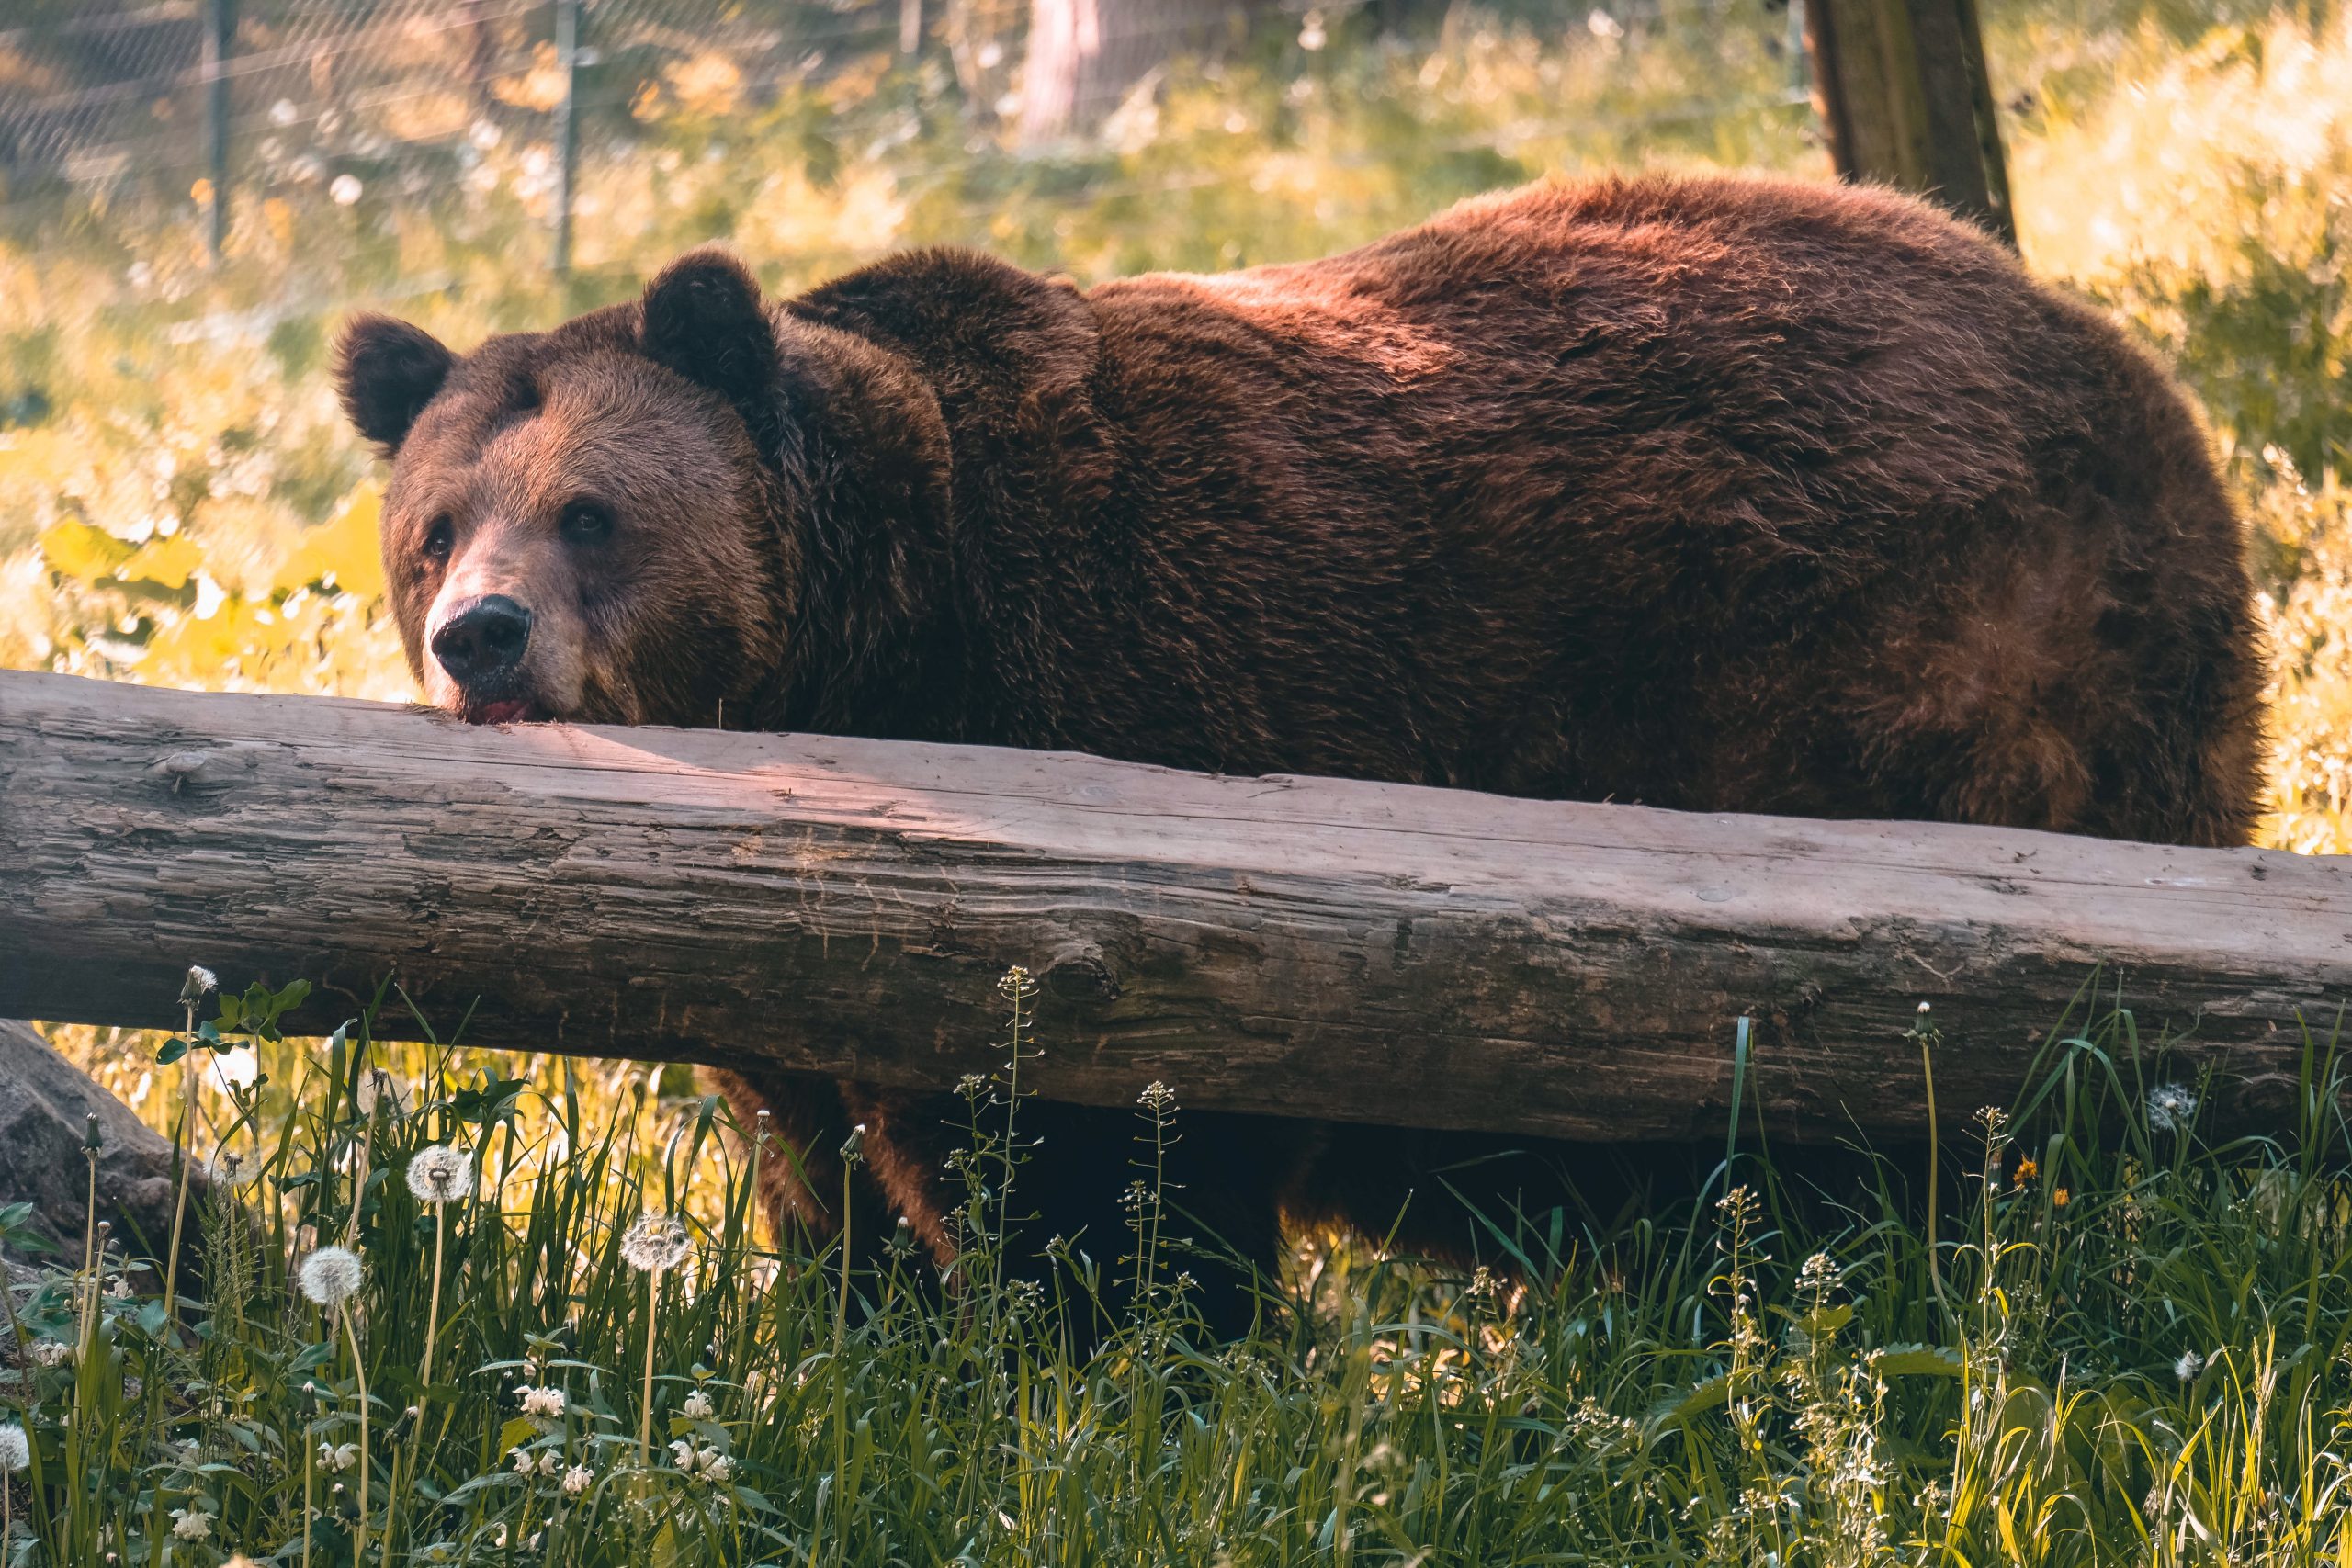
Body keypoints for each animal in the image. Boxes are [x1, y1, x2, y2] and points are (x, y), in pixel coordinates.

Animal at [341, 171, 2267, 1344]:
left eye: (591, 512)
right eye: (434, 528)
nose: (483, 636)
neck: (861, 648)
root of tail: (2142, 385)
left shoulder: (1107, 736)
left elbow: (1101, 1179)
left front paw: (1138, 1360)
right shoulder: (787, 998)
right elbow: (832, 1185)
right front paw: (871, 1336)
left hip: (1904, 688)